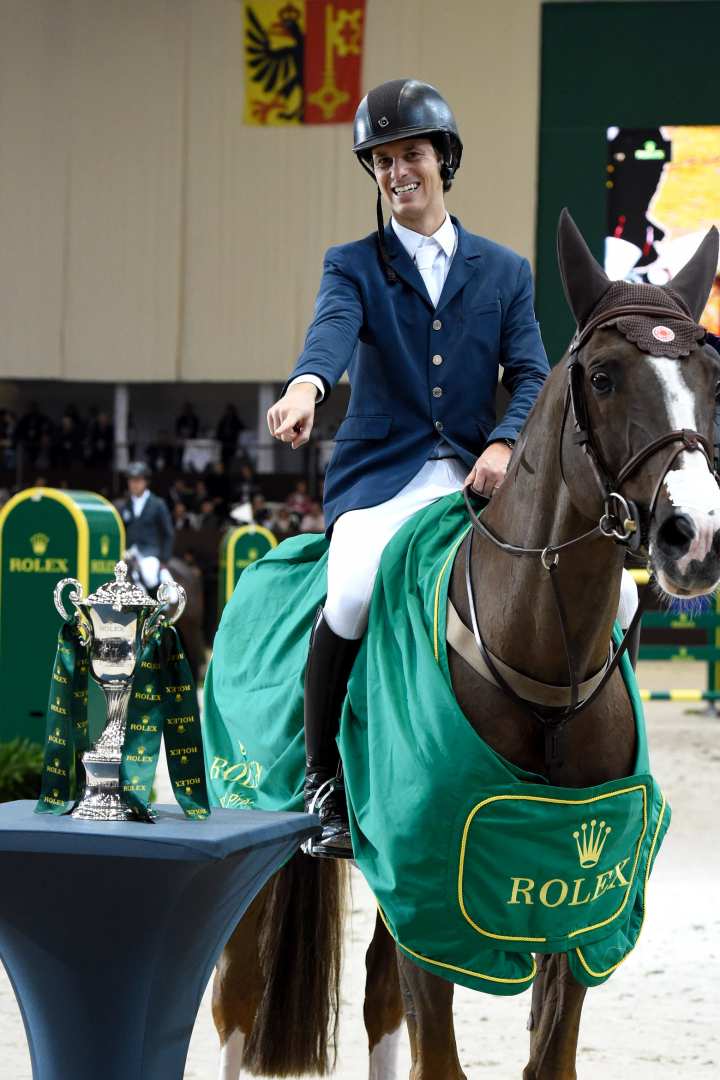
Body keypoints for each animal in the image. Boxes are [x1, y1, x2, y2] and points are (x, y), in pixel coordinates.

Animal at [212, 212, 720, 1080]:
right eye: (606, 377)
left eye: (712, 376)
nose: (695, 536)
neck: (547, 671)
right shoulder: (437, 893)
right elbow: (439, 1055)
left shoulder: (573, 901)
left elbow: (546, 1057)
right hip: (257, 831)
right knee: (239, 1003)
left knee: (378, 1000)